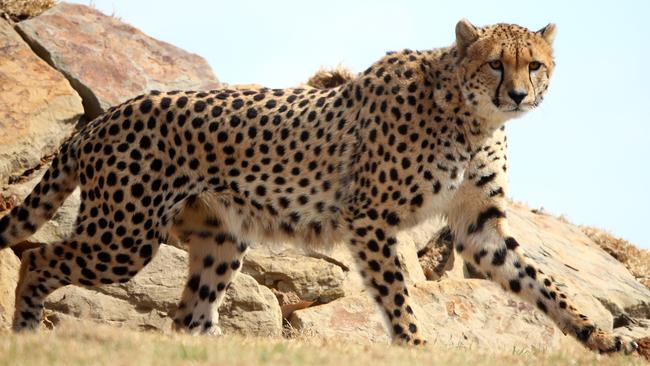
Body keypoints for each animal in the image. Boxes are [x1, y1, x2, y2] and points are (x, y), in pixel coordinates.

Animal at [0, 19, 636, 354]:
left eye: (534, 64)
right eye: (496, 63)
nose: (520, 95)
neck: (471, 117)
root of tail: (104, 117)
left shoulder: (480, 225)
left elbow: (542, 284)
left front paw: (598, 337)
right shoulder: (370, 218)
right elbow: (397, 294)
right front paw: (416, 346)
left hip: (220, 240)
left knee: (189, 317)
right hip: (125, 236)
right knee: (37, 259)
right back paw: (26, 335)